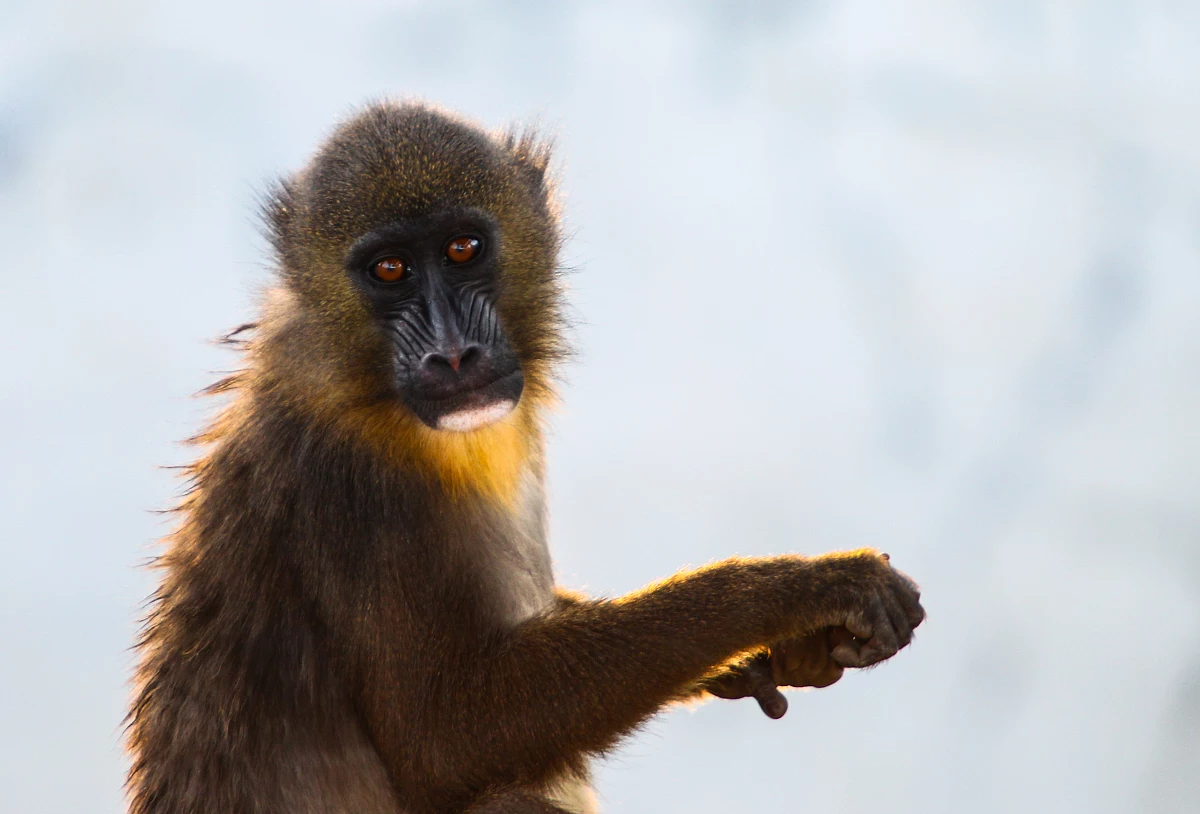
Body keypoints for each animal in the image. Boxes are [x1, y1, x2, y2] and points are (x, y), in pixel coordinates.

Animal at [126, 102, 921, 814]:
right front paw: (799, 590)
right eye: (389, 269)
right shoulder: (350, 491)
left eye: (462, 250)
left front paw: (775, 652)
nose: (454, 354)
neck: (367, 385)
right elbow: (451, 737)